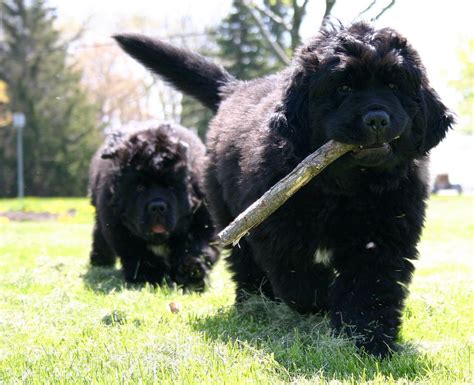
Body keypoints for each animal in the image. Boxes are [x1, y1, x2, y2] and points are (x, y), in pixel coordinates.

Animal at [89, 123, 218, 292]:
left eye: (171, 186)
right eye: (140, 187)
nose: (157, 206)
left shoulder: (203, 222)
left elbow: (197, 248)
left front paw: (192, 273)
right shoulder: (118, 228)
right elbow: (139, 256)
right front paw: (147, 277)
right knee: (99, 235)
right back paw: (99, 260)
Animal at [115, 22, 452, 356]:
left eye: (395, 86)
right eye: (343, 88)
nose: (378, 119)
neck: (346, 188)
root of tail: (236, 89)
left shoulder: (384, 234)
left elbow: (371, 288)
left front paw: (369, 342)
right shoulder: (278, 230)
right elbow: (298, 279)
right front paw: (321, 304)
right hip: (227, 212)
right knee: (245, 263)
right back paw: (254, 303)